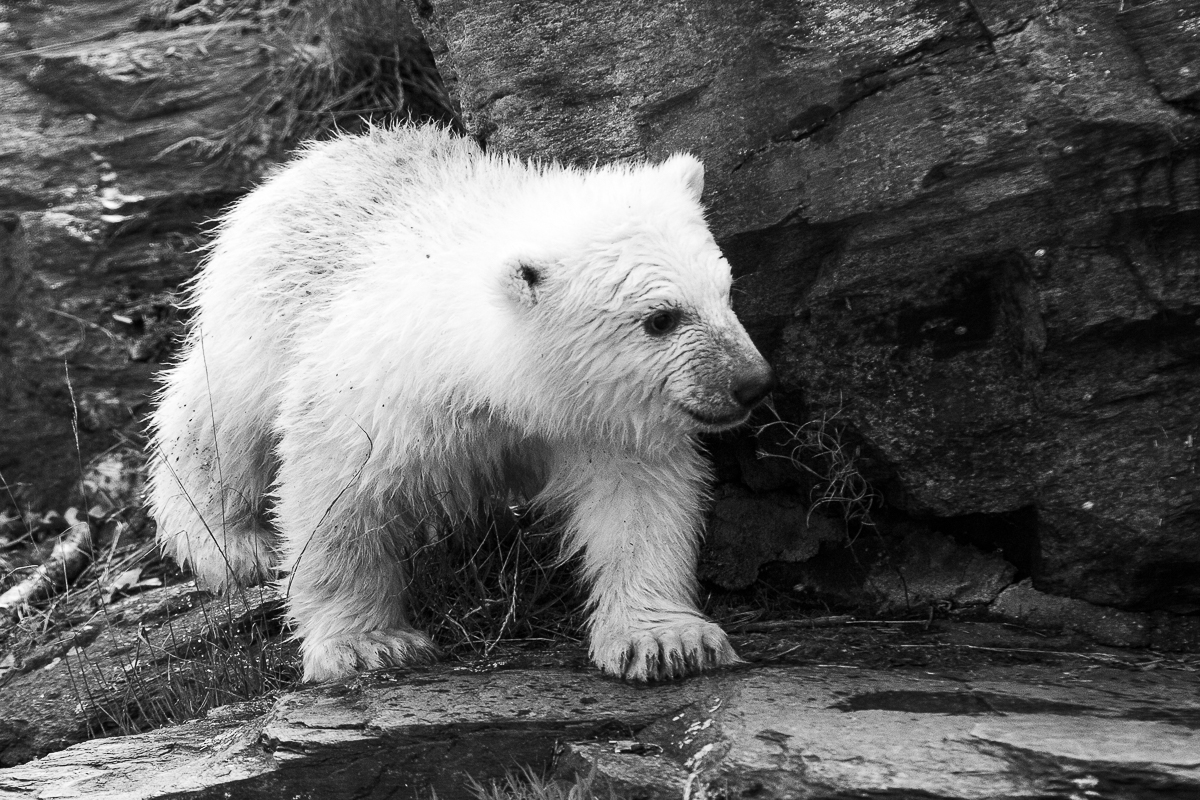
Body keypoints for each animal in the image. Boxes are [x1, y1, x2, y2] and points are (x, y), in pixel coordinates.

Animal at [147, 125, 777, 681]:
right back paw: (230, 542)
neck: (484, 375)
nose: (752, 383)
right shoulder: (378, 395)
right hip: (258, 312)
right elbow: (335, 501)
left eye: (725, 292)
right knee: (218, 417)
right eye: (661, 319)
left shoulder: (600, 418)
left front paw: (667, 641)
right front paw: (368, 645)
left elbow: (639, 500)